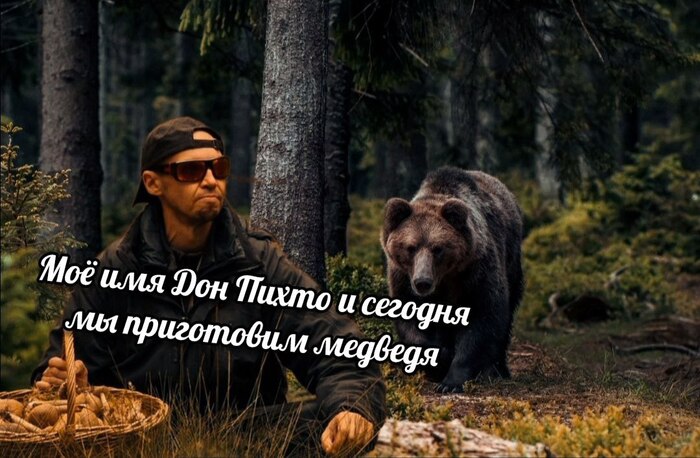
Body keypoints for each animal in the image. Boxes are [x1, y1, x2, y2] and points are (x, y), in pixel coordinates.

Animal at [381, 166, 523, 393]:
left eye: (438, 248)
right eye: (411, 247)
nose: (422, 282)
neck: (445, 280)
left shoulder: (476, 273)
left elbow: (483, 318)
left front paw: (451, 381)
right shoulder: (402, 278)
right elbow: (411, 324)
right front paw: (439, 360)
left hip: (512, 261)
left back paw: (497, 370)